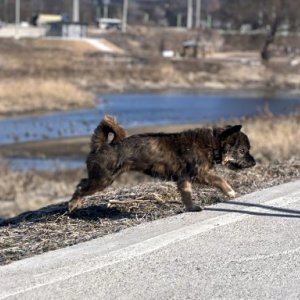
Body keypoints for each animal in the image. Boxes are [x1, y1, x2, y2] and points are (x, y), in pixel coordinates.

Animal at [68, 115, 255, 213]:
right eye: (243, 150)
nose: (254, 162)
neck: (213, 143)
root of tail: (102, 145)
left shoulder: (184, 179)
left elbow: (186, 195)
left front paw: (191, 207)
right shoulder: (198, 174)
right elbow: (219, 179)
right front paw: (230, 191)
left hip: (101, 178)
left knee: (81, 182)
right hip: (103, 179)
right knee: (80, 187)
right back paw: (72, 204)